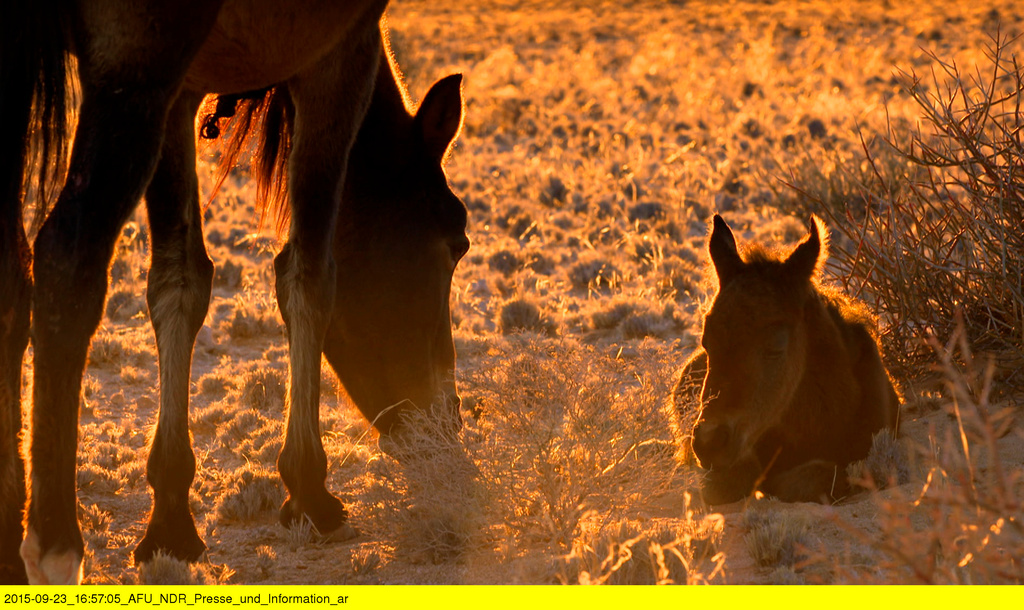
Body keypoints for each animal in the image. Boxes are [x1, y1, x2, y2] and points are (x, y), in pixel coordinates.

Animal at [1, 0, 469, 584]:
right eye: (458, 242)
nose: (447, 423)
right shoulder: (339, 56)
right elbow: (308, 276)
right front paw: (309, 488)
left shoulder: (183, 91)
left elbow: (181, 280)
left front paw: (171, 518)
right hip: (138, 58)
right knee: (66, 256)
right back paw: (54, 542)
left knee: (11, 280)